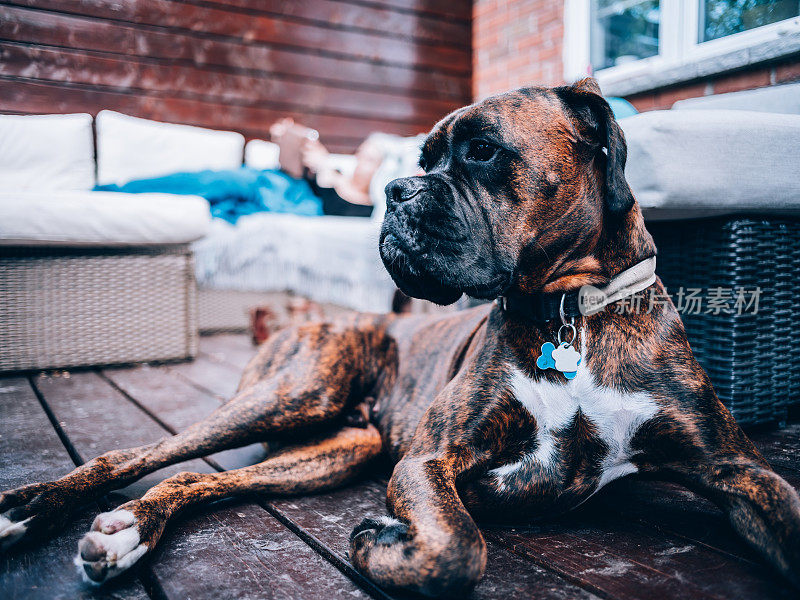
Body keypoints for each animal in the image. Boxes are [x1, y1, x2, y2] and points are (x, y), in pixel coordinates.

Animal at [1, 78, 800, 596]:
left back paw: (127, 529)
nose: (396, 192)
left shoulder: (735, 467)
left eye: (481, 151)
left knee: (200, 478)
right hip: (298, 389)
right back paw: (34, 508)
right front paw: (380, 543)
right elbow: (457, 549)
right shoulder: (428, 460)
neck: (572, 309)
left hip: (336, 448)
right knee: (136, 454)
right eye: (422, 160)